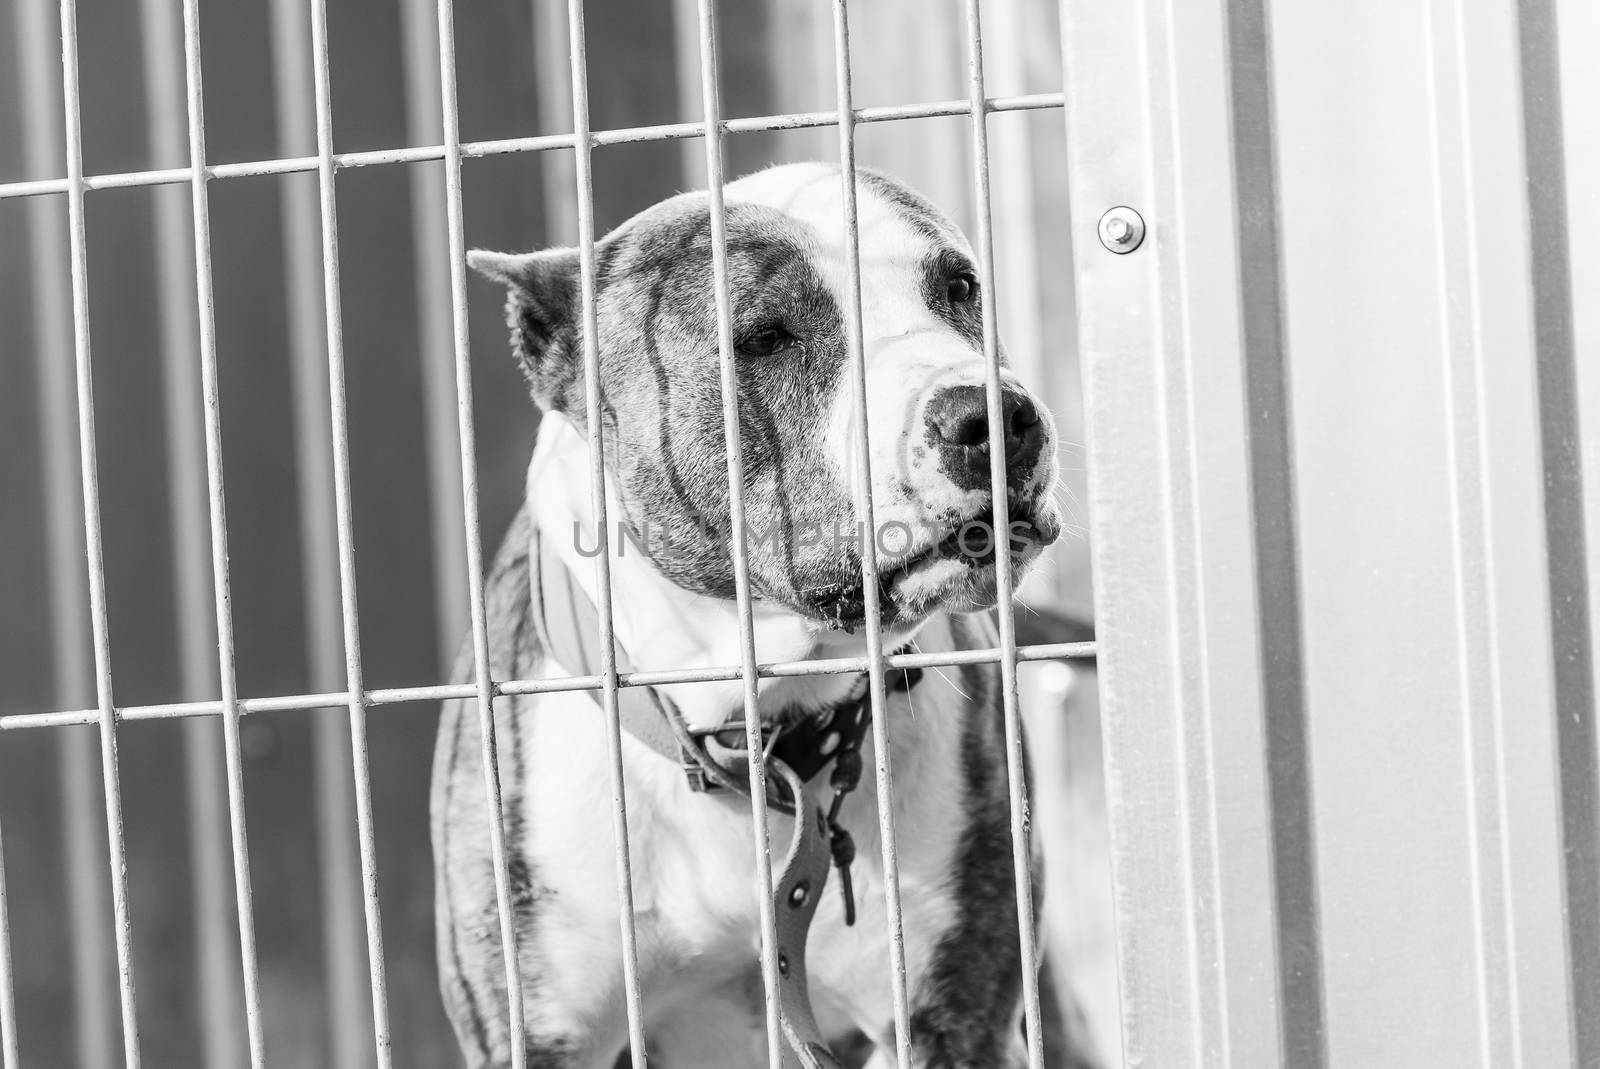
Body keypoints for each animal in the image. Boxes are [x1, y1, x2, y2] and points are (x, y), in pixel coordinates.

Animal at [432, 160, 1094, 1069]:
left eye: (959, 286)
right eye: (765, 337)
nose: (993, 413)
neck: (756, 731)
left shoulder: (951, 1017)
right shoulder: (538, 1030)